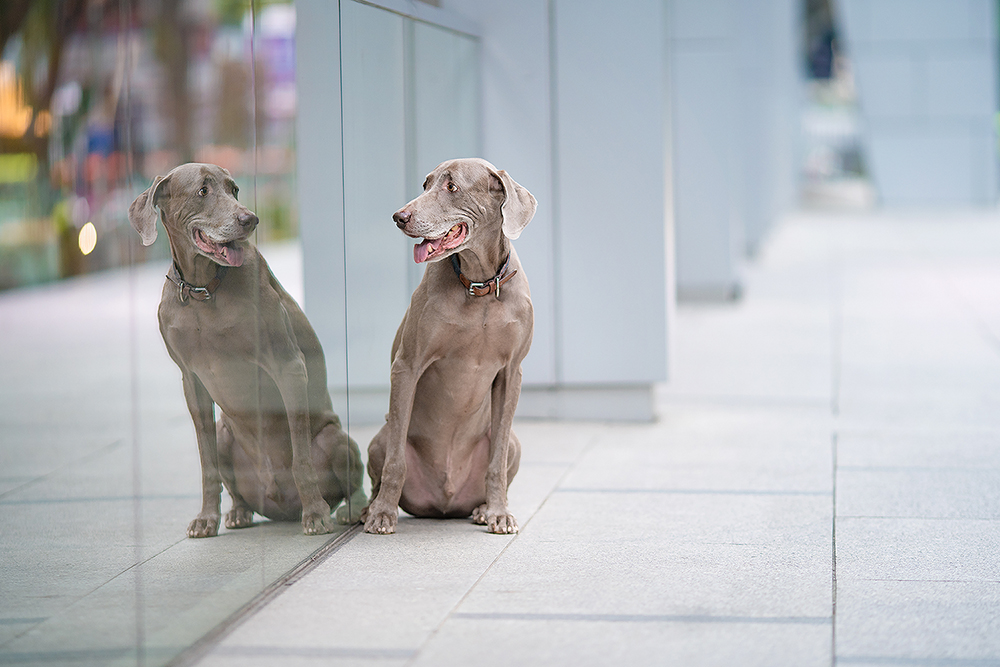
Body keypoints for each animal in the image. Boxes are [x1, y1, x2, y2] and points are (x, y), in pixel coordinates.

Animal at [130, 164, 368, 540]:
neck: (203, 290)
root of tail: (281, 507)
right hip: (225, 435)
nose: (250, 219)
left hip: (333, 438)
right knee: (230, 474)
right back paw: (239, 512)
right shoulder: (191, 381)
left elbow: (300, 458)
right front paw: (206, 518)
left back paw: (346, 509)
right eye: (202, 191)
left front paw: (316, 516)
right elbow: (206, 462)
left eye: (235, 189)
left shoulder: (288, 367)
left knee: (350, 481)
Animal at [360, 158, 532, 536]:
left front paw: (499, 513)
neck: (479, 285)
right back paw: (369, 509)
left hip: (516, 442)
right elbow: (395, 461)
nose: (399, 216)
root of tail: (444, 505)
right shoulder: (407, 366)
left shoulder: (512, 372)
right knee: (386, 457)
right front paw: (383, 514)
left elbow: (496, 461)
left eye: (452, 187)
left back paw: (482, 508)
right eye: (425, 184)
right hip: (380, 437)